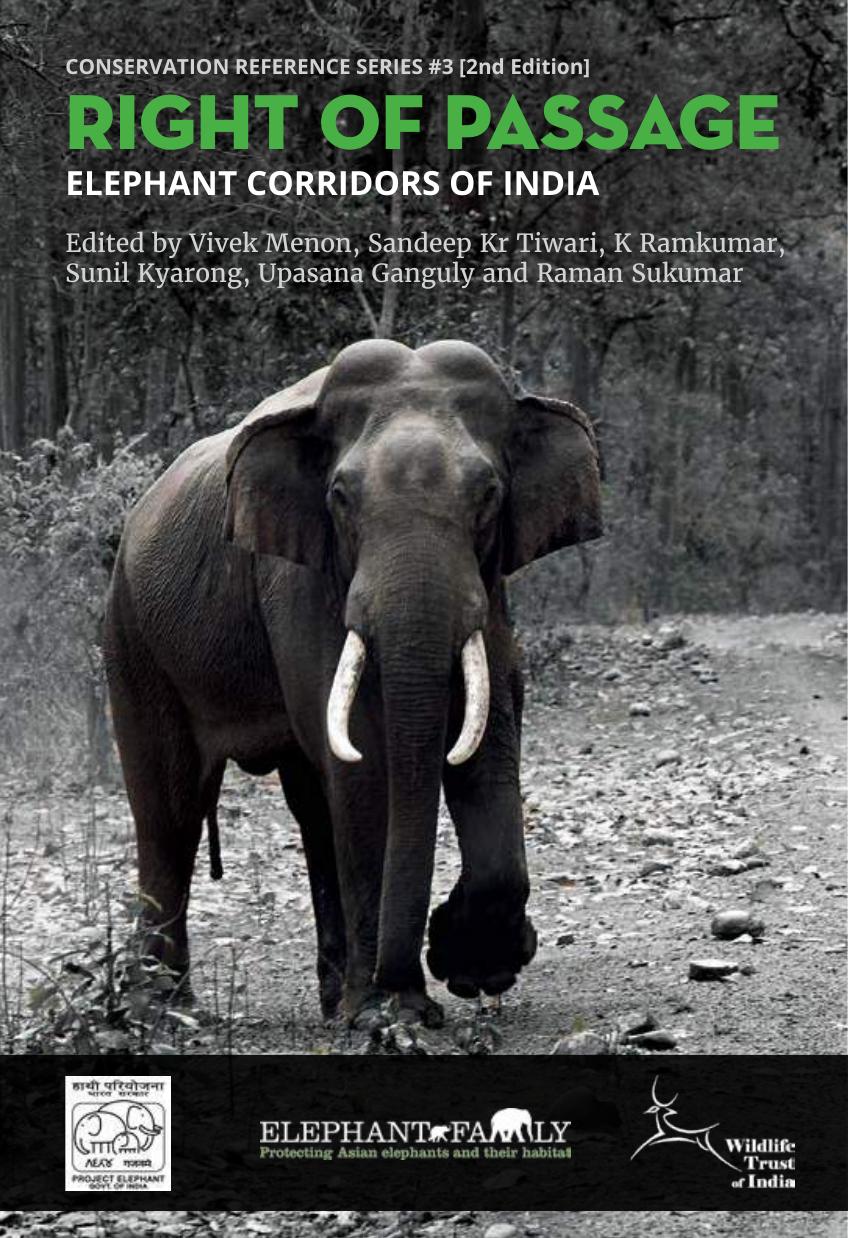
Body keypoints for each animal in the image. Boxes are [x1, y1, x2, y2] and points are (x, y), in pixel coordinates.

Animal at [104, 338, 602, 1028]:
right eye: (340, 496)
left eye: (489, 495)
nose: (411, 985)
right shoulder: (298, 575)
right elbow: (365, 761)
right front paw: (389, 1014)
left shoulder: (490, 581)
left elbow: (490, 734)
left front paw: (468, 970)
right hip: (132, 638)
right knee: (168, 812)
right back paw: (161, 1011)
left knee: (311, 808)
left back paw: (328, 996)